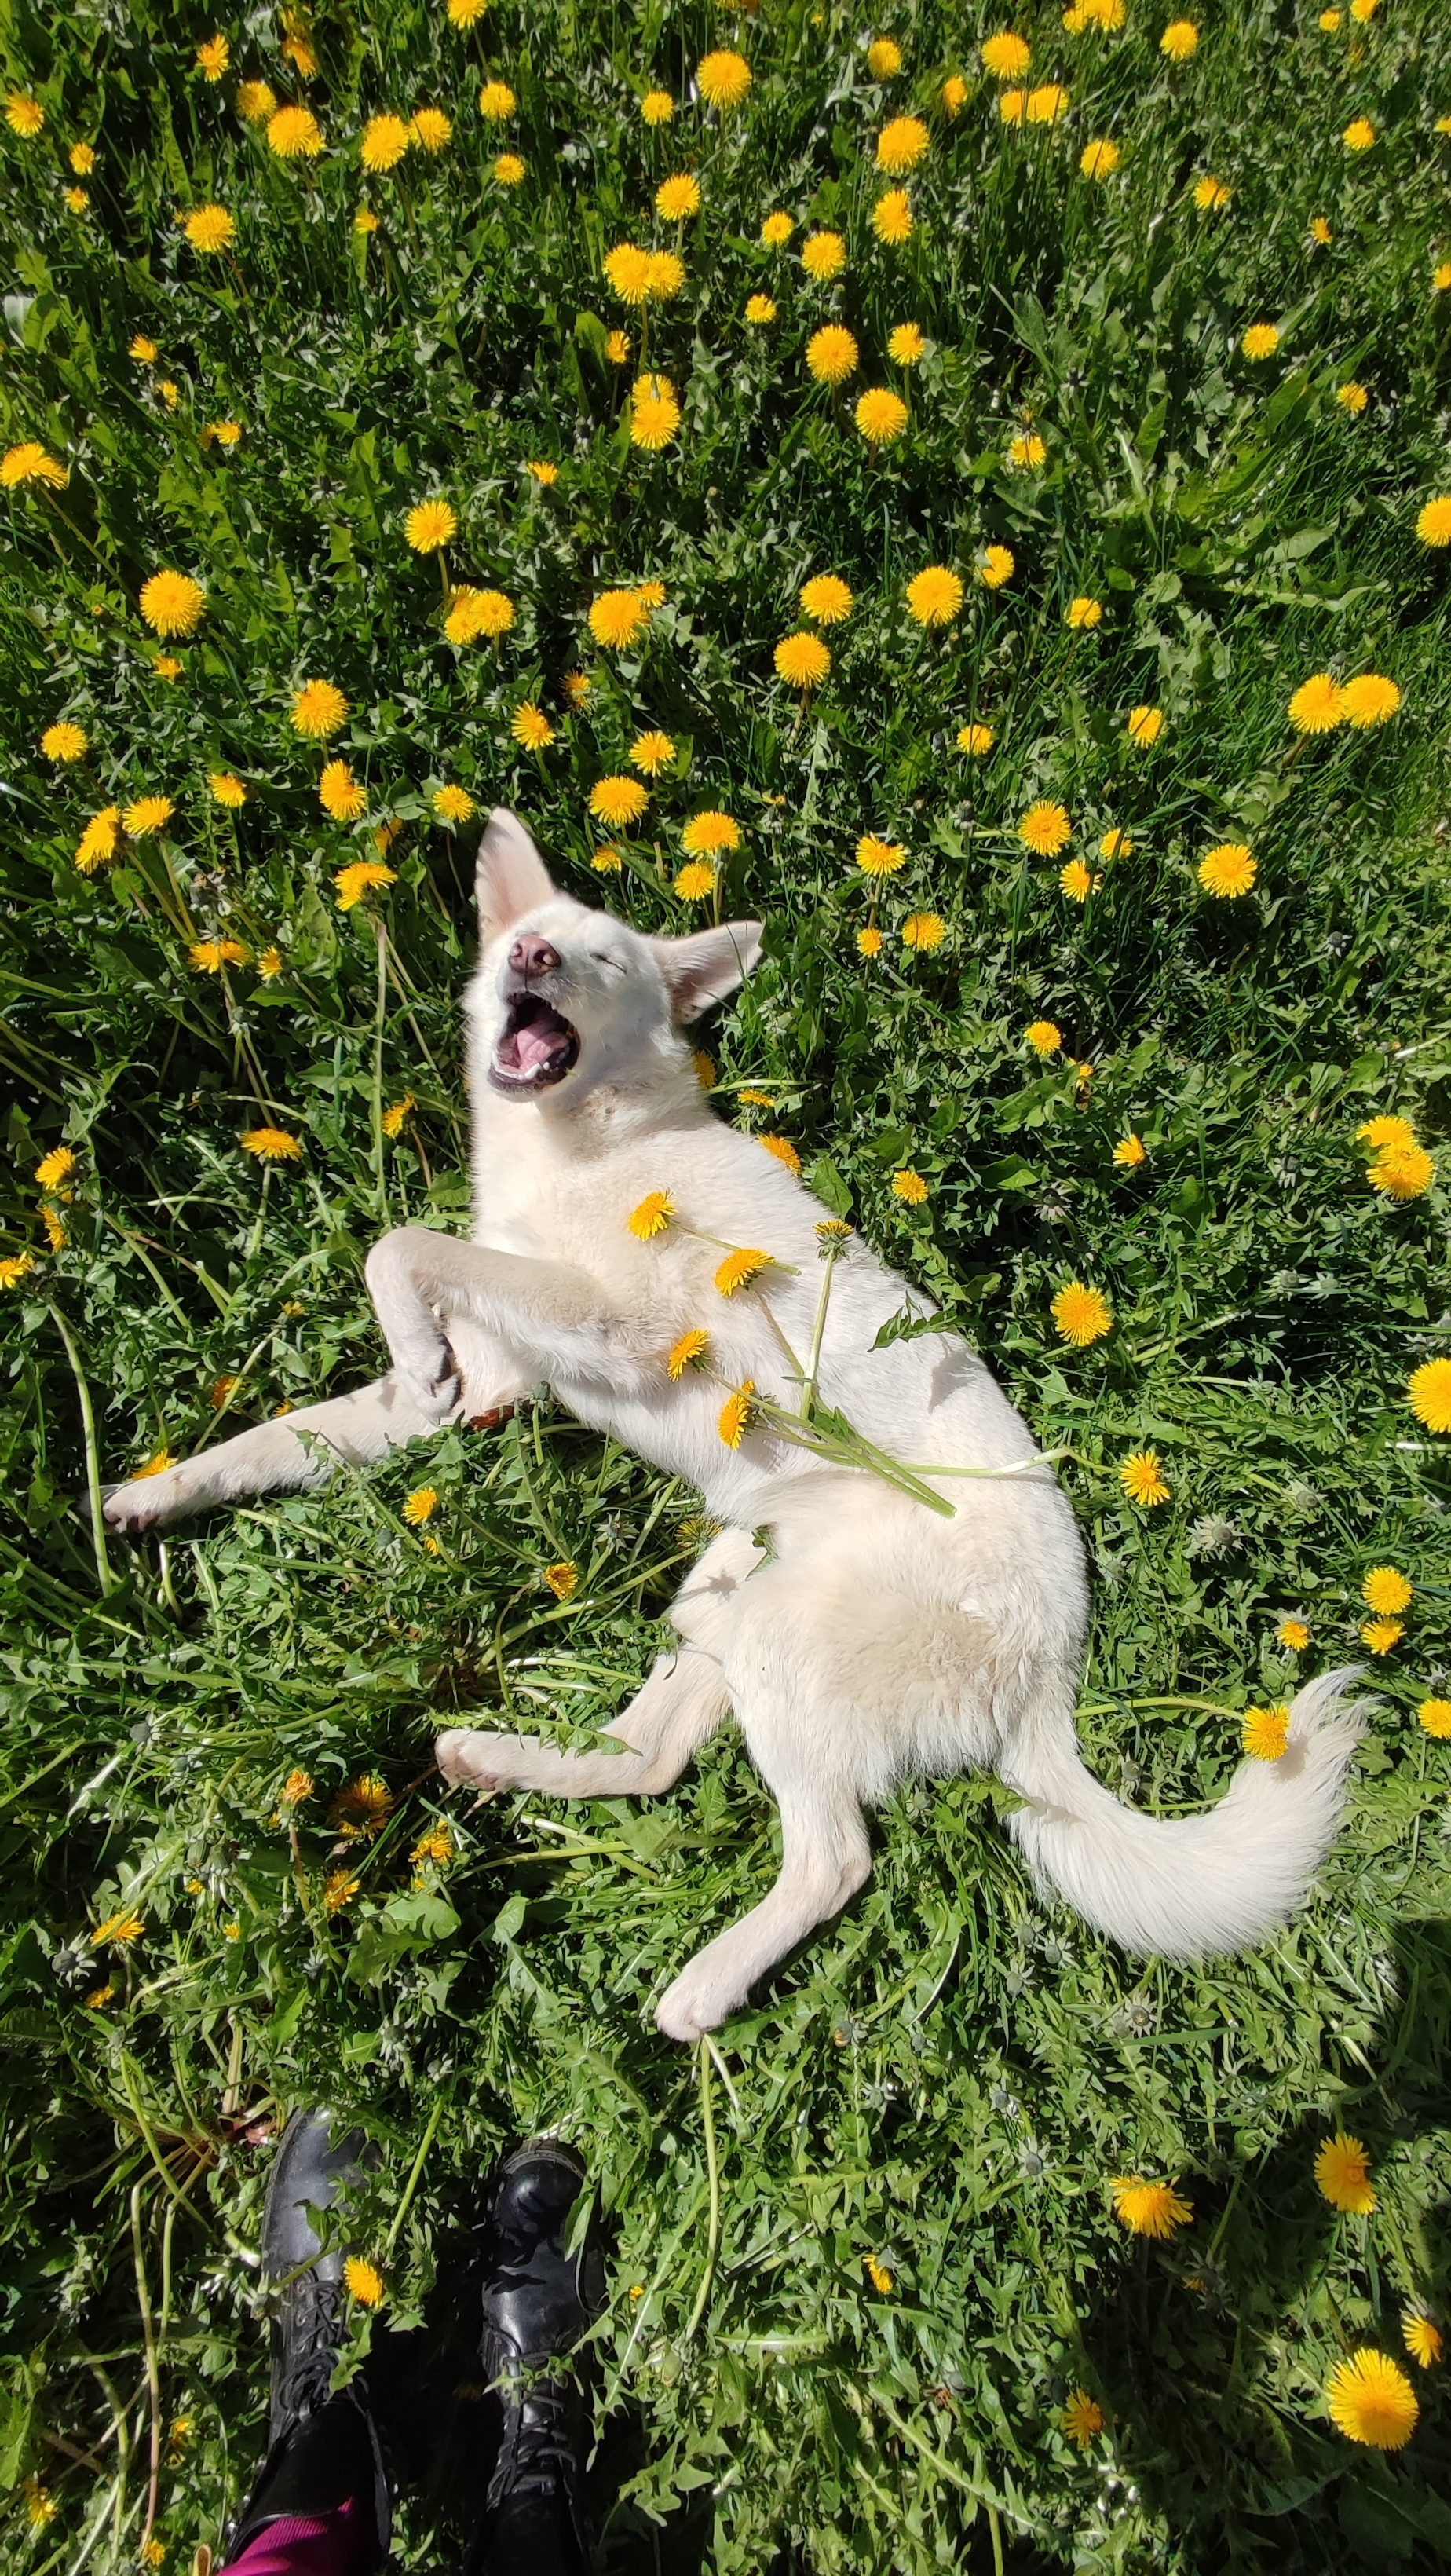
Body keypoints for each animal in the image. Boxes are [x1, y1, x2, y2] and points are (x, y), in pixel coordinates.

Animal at [108, 814, 1371, 2040]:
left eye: (605, 959)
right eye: (531, 940)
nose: (534, 955)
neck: (592, 1138)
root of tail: (1055, 1668)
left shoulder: (611, 1323)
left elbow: (403, 1244)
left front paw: (412, 1339)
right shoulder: (499, 1371)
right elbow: (278, 1432)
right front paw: (152, 1493)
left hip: (777, 1644)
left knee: (834, 1859)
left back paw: (704, 1988)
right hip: (727, 1591)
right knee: (646, 1761)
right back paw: (497, 1760)